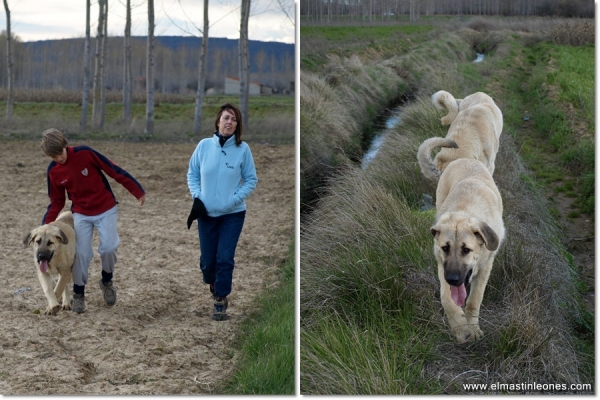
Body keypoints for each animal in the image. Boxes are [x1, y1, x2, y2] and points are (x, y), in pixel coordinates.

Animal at [428, 158, 504, 342]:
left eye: (466, 250)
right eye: (445, 248)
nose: (453, 279)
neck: (464, 210)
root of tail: (465, 158)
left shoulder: (485, 267)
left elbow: (474, 300)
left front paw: (473, 327)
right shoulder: (442, 266)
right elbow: (447, 299)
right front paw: (460, 327)